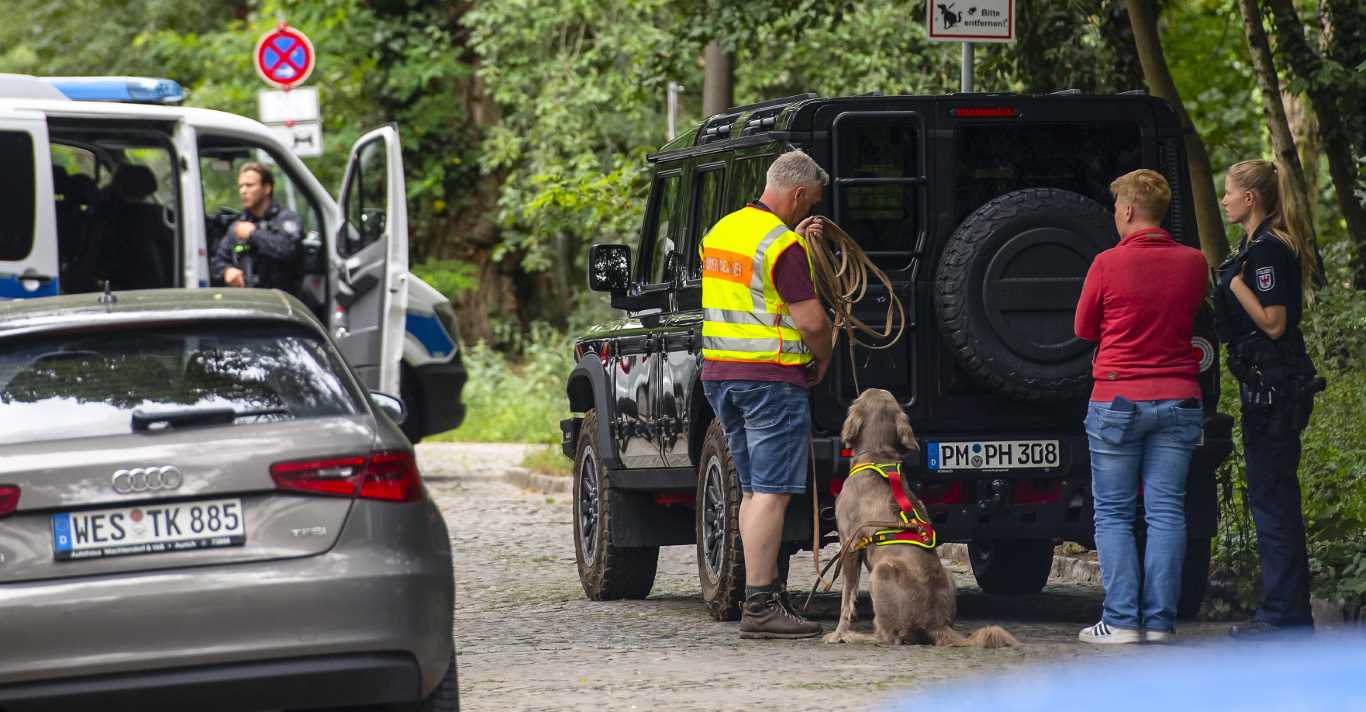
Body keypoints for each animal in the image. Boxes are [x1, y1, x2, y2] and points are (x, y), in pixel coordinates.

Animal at [814, 388, 1021, 650]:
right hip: (947, 575)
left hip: (881, 571)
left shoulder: (849, 544)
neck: (877, 456)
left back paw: (858, 636)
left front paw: (838, 633)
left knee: (890, 637)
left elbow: (847, 598)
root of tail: (936, 623)